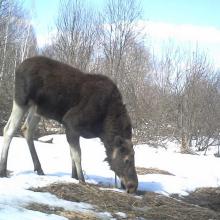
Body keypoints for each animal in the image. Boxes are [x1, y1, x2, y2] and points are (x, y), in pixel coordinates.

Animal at [0, 56, 138, 192]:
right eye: (127, 160)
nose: (133, 186)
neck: (103, 128)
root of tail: (19, 67)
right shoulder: (71, 122)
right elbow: (77, 155)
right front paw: (81, 179)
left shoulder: (72, 129)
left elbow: (72, 154)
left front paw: (74, 176)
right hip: (21, 100)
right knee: (9, 130)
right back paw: (3, 170)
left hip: (37, 110)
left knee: (27, 129)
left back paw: (39, 168)